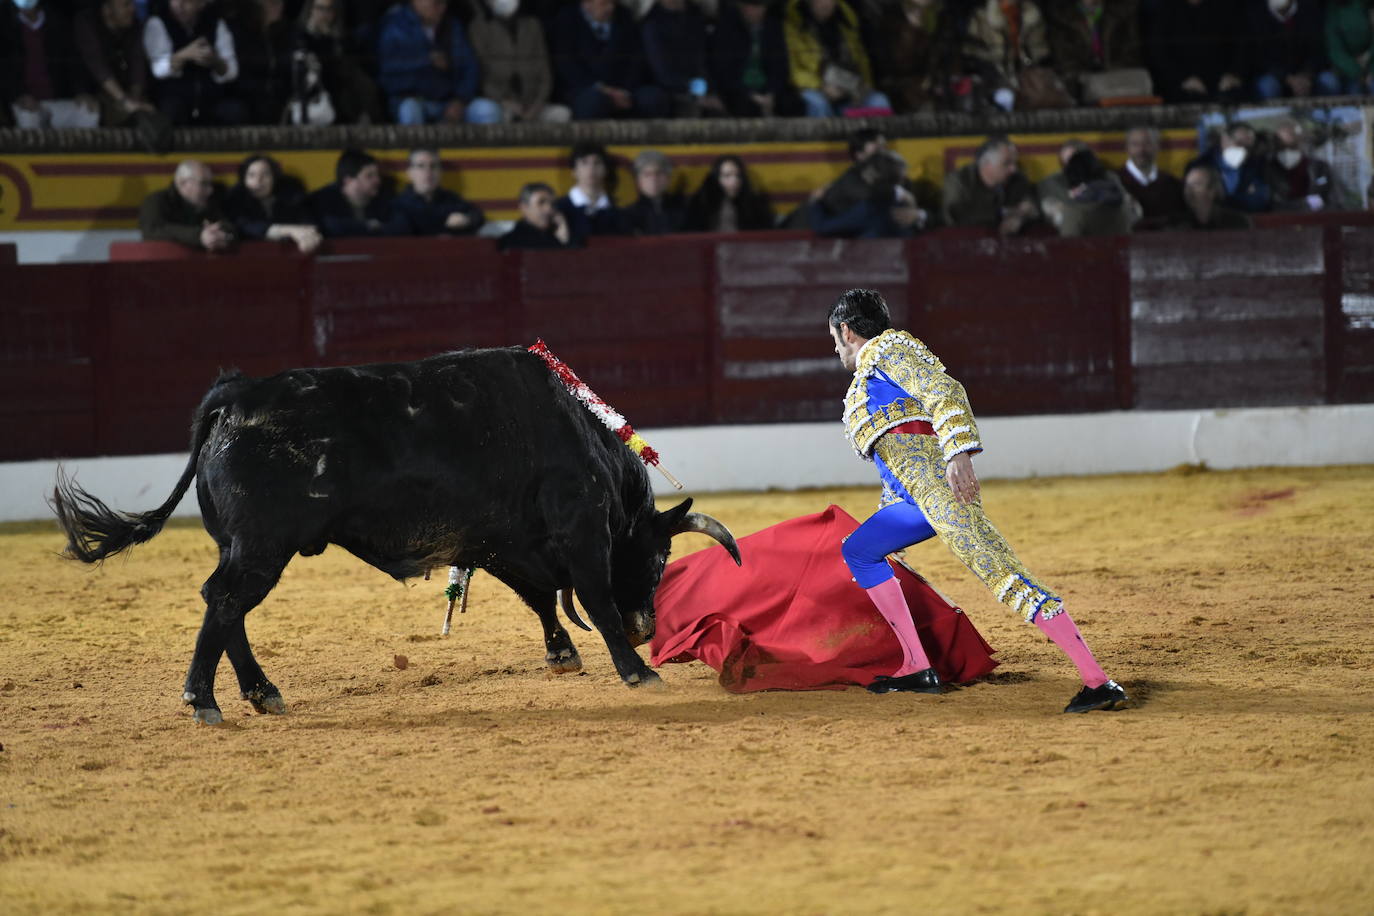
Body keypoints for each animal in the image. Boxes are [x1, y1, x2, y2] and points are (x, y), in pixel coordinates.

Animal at [50, 347, 741, 725]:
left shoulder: (503, 540)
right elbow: (593, 598)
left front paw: (563, 654)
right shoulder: (578, 530)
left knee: (226, 606)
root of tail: (237, 395)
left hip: (243, 545)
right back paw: (203, 699)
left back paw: (261, 693)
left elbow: (541, 598)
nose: (648, 628)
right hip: (263, 546)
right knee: (224, 601)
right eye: (658, 558)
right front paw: (634, 671)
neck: (579, 432)